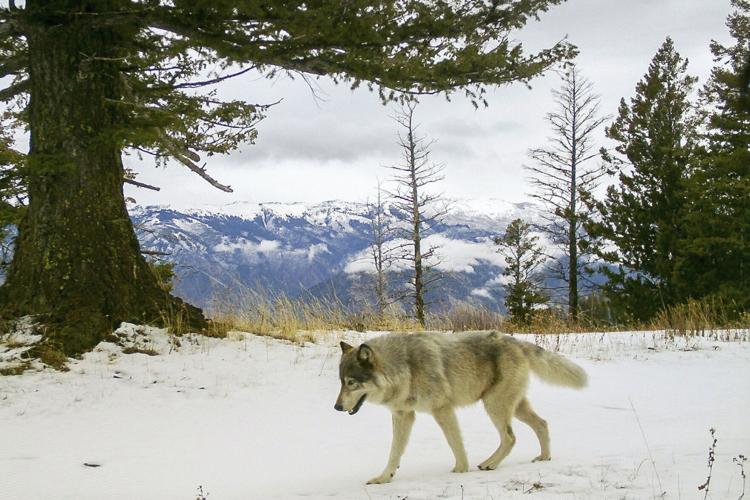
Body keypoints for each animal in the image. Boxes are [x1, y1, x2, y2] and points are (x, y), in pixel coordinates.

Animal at [334, 331, 587, 484]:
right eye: (341, 382)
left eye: (351, 383)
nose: (336, 407)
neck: (405, 368)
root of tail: (515, 341)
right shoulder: (403, 415)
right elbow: (394, 451)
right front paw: (384, 478)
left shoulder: (442, 410)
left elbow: (455, 443)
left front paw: (461, 470)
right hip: (514, 407)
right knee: (542, 424)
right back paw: (544, 457)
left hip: (494, 406)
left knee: (510, 437)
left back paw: (489, 464)